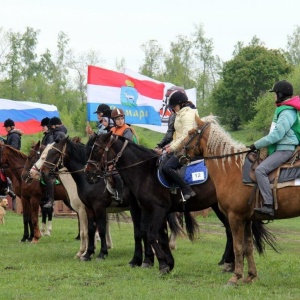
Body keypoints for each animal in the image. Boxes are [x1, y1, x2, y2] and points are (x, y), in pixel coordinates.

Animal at [29, 138, 157, 268]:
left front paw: (91, 253)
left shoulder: (93, 208)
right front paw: (88, 253)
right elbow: (90, 230)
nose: (35, 173)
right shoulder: (88, 208)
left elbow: (91, 231)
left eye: (52, 154)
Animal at [83, 129, 276, 274]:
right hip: (219, 206)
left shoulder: (158, 209)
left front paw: (161, 263)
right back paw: (228, 263)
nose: (88, 174)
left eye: (97, 149)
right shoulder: (154, 210)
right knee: (230, 231)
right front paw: (168, 263)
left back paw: (230, 264)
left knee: (232, 231)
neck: (145, 172)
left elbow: (151, 235)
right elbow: (160, 237)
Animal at [176, 115, 292, 286]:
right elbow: (248, 247)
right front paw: (250, 276)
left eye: (190, 132)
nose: (175, 152)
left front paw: (235, 277)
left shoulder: (235, 217)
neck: (231, 169)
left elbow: (238, 246)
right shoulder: (247, 219)